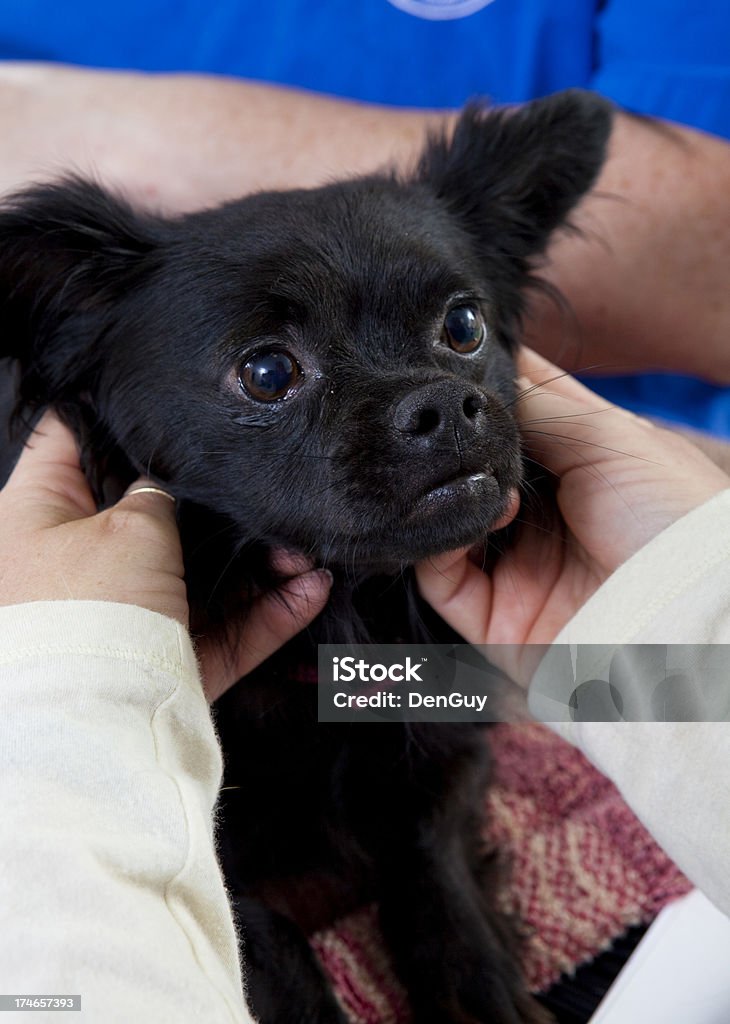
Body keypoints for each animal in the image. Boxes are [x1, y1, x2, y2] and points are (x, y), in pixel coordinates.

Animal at [0, 90, 610, 1024]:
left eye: (464, 325)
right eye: (266, 372)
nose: (444, 404)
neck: (344, 621)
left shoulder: (445, 763)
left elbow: (438, 879)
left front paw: (484, 992)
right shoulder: (208, 850)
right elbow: (265, 941)